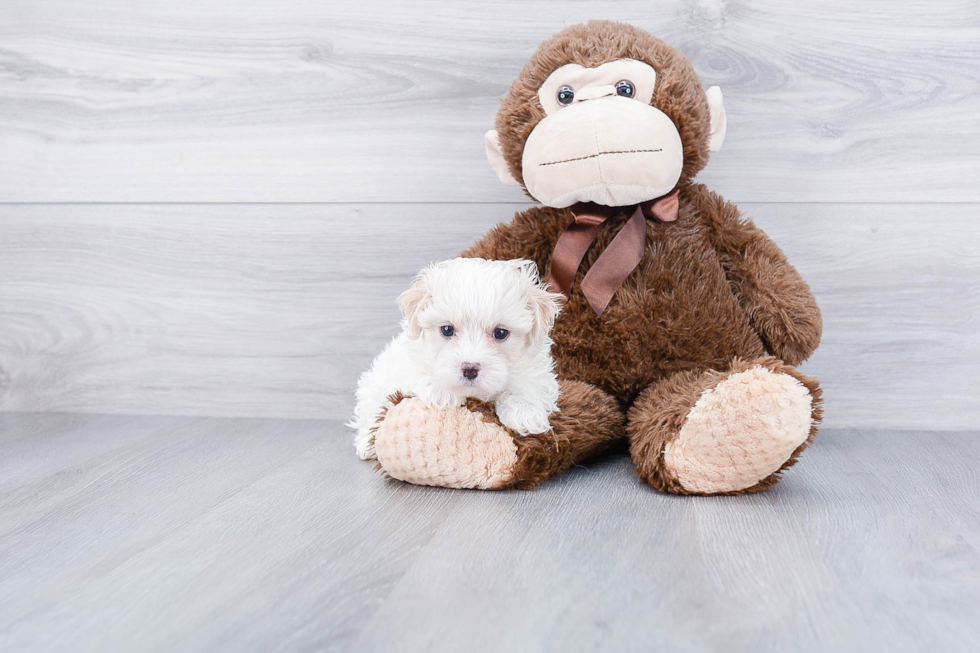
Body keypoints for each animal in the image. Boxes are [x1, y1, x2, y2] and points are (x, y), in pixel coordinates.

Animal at [352, 255, 568, 458]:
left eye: (500, 333)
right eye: (447, 330)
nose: (470, 369)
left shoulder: (537, 369)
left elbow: (529, 384)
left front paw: (524, 411)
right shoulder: (405, 362)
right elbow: (415, 373)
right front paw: (441, 391)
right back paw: (366, 443)